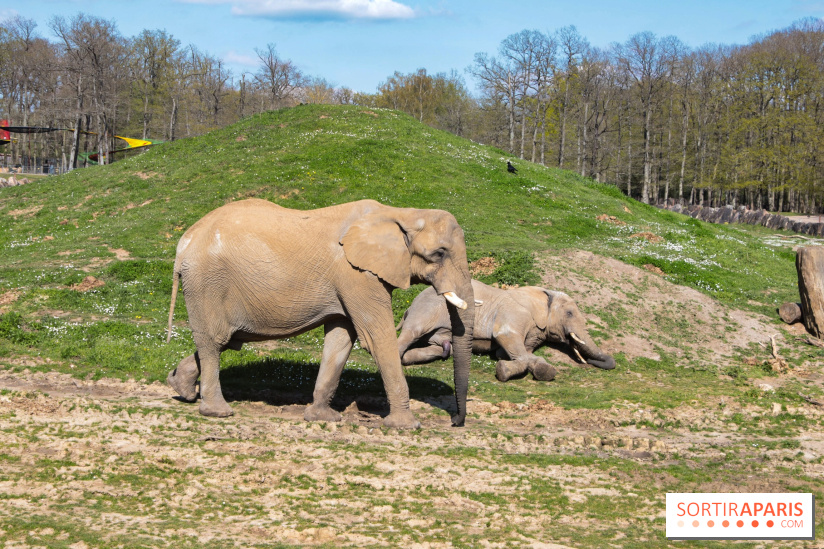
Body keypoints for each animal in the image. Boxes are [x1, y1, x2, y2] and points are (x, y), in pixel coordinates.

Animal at [165, 198, 475, 429]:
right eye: (439, 254)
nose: (455, 422)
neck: (401, 212)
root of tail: (184, 243)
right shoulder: (356, 274)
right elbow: (377, 339)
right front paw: (406, 426)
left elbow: (341, 339)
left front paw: (321, 418)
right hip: (206, 283)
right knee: (214, 341)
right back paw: (217, 412)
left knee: (224, 340)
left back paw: (181, 387)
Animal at [397, 279, 614, 382]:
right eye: (569, 313)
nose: (590, 362)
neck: (542, 294)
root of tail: (411, 304)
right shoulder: (514, 314)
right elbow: (507, 341)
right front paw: (503, 370)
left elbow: (518, 353)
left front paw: (543, 368)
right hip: (427, 309)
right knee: (410, 333)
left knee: (437, 347)